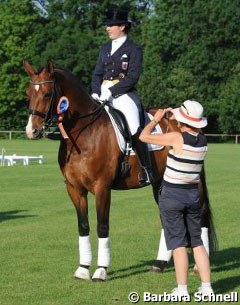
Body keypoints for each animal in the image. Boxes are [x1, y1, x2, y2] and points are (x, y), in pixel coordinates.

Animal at [23, 61, 217, 280]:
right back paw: (159, 263)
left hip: (190, 181)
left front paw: (100, 270)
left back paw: (198, 265)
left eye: (47, 94)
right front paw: (83, 268)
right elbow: (83, 226)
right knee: (166, 217)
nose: (32, 131)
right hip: (161, 182)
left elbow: (102, 226)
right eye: (28, 94)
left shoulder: (102, 188)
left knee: (200, 214)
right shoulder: (74, 188)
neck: (84, 133)